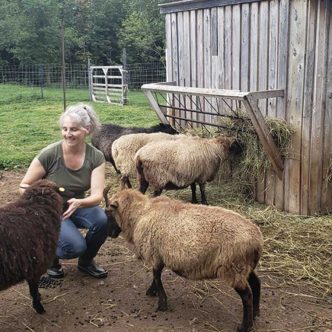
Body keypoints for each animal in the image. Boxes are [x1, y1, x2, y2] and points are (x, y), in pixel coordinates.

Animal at [105, 189, 264, 332]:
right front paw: (152, 292)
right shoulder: (159, 255)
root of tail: (257, 240)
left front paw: (161, 303)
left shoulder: (155, 254)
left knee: (247, 295)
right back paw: (255, 314)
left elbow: (156, 276)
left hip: (233, 267)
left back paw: (245, 326)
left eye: (108, 212)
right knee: (256, 284)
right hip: (244, 266)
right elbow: (156, 276)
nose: (110, 234)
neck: (141, 213)